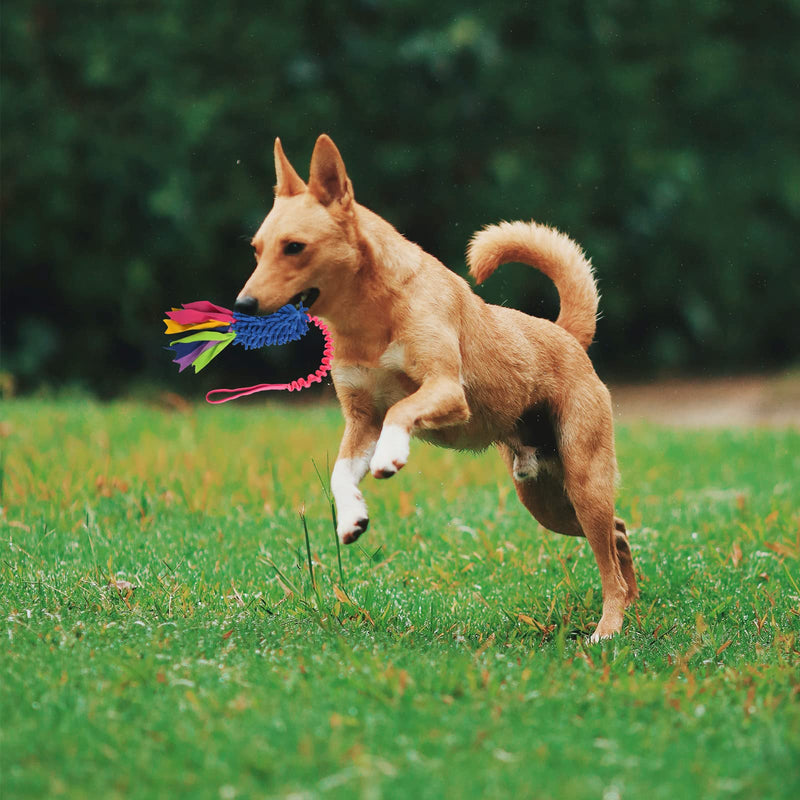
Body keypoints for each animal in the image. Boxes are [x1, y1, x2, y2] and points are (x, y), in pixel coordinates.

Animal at [234, 134, 640, 640]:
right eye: (256, 249)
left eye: (294, 247)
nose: (242, 305)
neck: (370, 320)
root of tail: (565, 334)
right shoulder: (359, 420)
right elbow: (340, 472)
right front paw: (351, 517)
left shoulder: (445, 390)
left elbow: (400, 411)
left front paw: (391, 456)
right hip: (545, 500)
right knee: (619, 536)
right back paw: (633, 607)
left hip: (584, 481)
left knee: (608, 558)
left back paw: (608, 629)